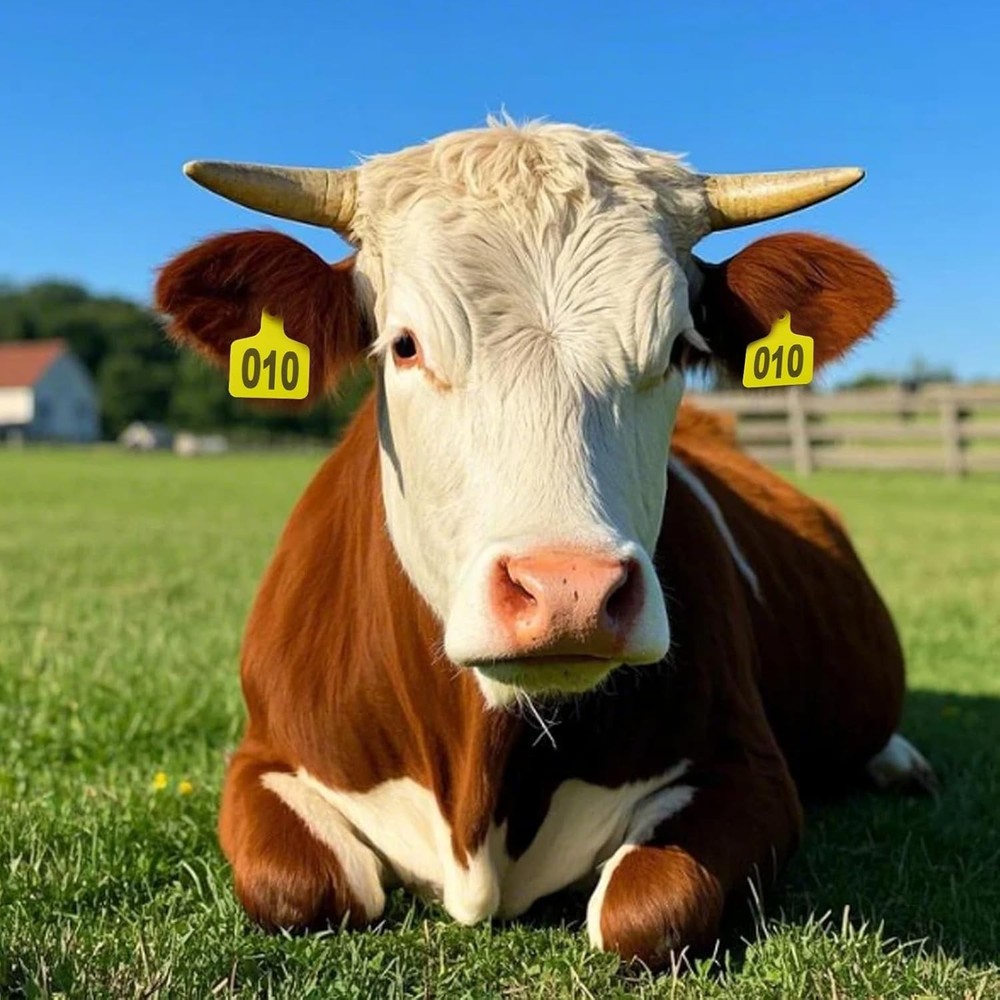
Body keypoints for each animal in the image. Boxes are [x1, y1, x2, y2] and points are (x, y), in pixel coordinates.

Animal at [155, 120, 936, 967]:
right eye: (404, 345)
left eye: (674, 350)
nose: (570, 591)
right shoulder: (262, 757)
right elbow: (301, 887)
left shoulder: (751, 769)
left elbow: (642, 907)